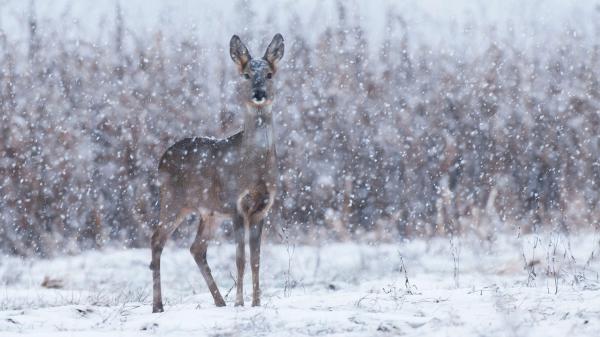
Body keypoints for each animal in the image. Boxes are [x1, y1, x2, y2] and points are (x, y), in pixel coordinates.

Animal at [149, 34, 282, 312]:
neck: (256, 169)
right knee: (157, 239)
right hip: (173, 200)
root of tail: (162, 159)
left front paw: (256, 302)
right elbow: (240, 258)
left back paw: (220, 301)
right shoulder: (236, 204)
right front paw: (241, 302)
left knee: (196, 247)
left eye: (269, 74)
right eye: (245, 74)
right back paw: (158, 306)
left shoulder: (263, 208)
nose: (259, 94)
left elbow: (256, 259)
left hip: (208, 211)